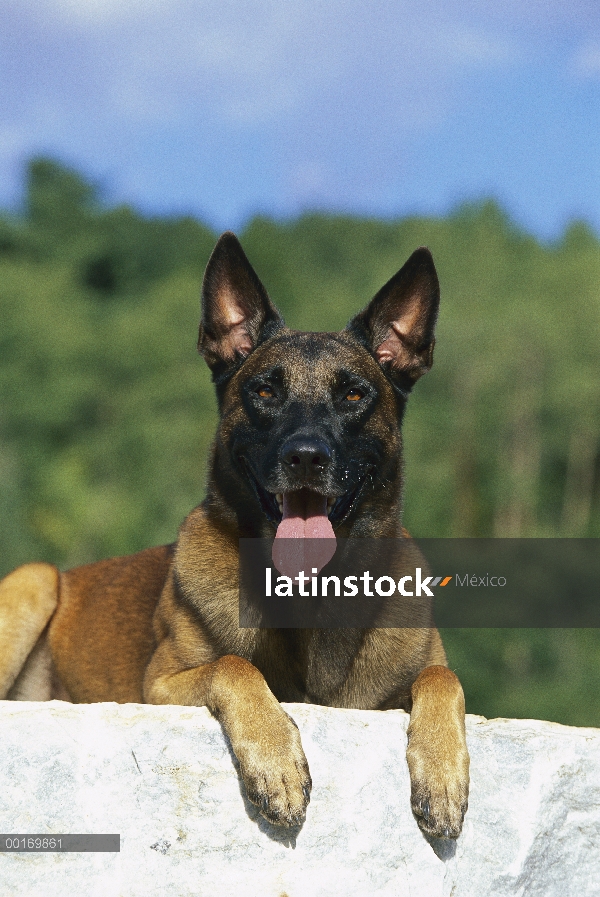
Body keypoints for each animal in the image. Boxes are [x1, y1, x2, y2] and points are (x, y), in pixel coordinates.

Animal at [0, 233, 468, 840]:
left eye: (353, 396)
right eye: (265, 391)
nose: (306, 457)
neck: (309, 601)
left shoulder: (414, 677)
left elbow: (442, 675)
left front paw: (442, 773)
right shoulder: (162, 685)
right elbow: (234, 665)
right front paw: (276, 763)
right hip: (34, 580)